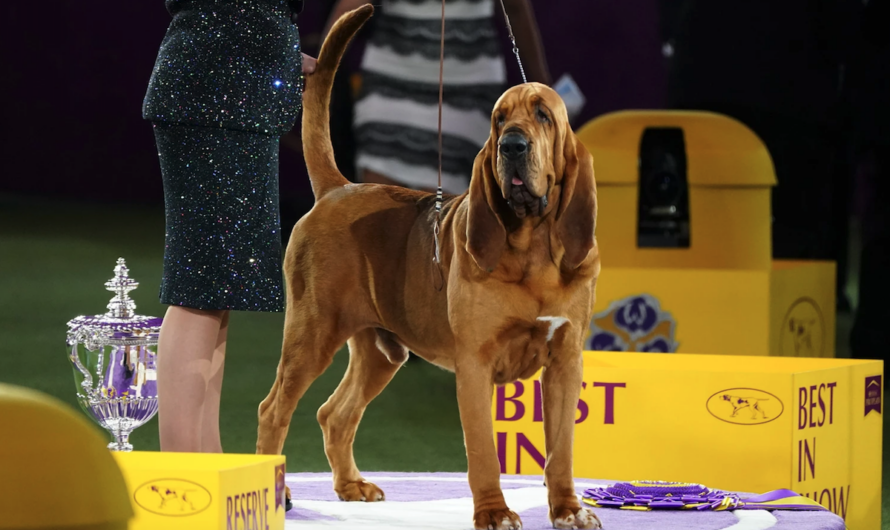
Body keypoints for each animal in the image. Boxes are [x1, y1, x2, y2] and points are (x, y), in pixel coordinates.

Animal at [260, 6, 600, 524]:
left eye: (543, 114)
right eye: (499, 119)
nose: (512, 146)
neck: (534, 248)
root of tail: (339, 187)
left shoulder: (565, 363)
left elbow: (561, 449)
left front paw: (568, 510)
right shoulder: (476, 365)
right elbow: (483, 451)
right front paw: (495, 513)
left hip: (381, 352)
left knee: (334, 414)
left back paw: (352, 486)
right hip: (311, 337)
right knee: (274, 409)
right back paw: (275, 492)